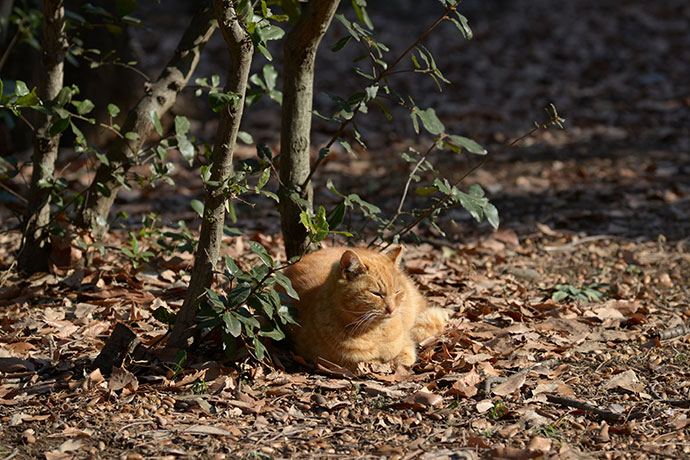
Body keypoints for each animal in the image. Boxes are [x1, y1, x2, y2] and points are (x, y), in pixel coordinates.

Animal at [280, 244, 446, 370]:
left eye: (397, 292)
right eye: (376, 294)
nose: (392, 309)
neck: (374, 333)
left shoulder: (405, 342)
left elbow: (405, 353)